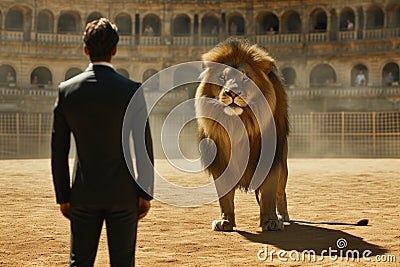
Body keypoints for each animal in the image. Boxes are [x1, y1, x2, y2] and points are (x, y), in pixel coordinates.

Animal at [193, 38, 288, 232]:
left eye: (245, 77)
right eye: (222, 78)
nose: (232, 92)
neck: (239, 123)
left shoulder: (271, 158)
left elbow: (268, 194)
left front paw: (271, 221)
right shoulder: (220, 161)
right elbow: (224, 197)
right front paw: (225, 221)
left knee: (280, 192)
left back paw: (282, 216)